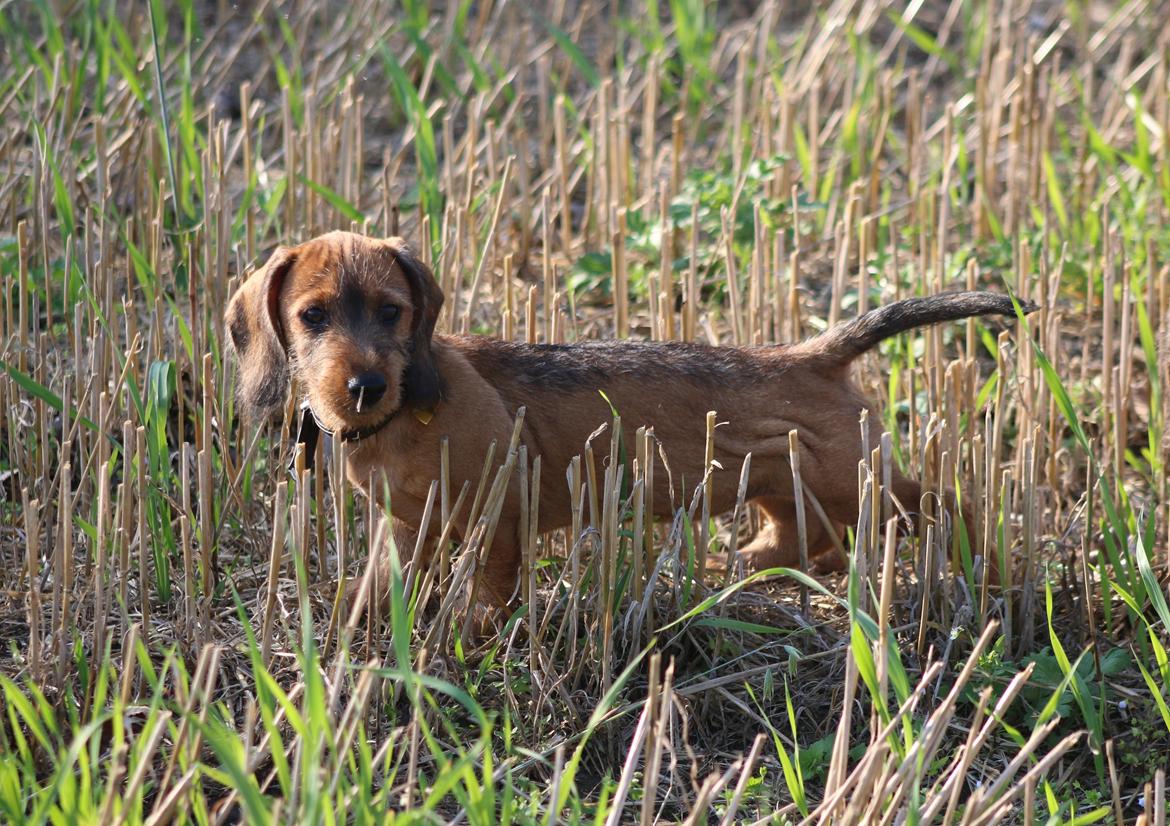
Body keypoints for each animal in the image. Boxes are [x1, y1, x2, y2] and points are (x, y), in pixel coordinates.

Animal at [225, 230, 1034, 603]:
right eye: (313, 315)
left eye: (392, 312)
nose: (363, 386)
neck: (403, 417)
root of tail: (813, 353)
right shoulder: (404, 525)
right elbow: (380, 590)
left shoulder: (500, 513)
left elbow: (489, 593)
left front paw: (470, 641)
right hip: (786, 480)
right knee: (812, 541)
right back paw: (744, 568)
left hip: (857, 480)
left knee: (946, 504)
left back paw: (990, 576)